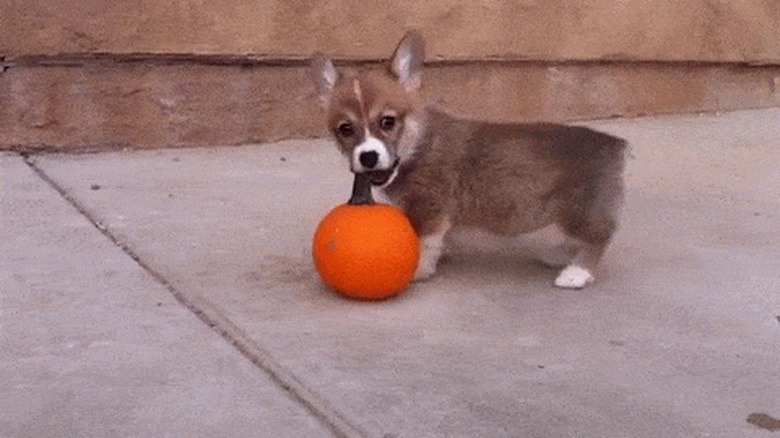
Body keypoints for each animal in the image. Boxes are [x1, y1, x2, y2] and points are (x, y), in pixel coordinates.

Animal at [314, 31, 624, 290]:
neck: (418, 146)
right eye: (345, 129)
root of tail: (615, 145)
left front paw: (417, 272)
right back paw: (560, 255)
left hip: (576, 210)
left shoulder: (430, 209)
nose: (368, 157)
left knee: (601, 235)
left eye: (387, 121)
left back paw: (577, 272)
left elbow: (423, 245)